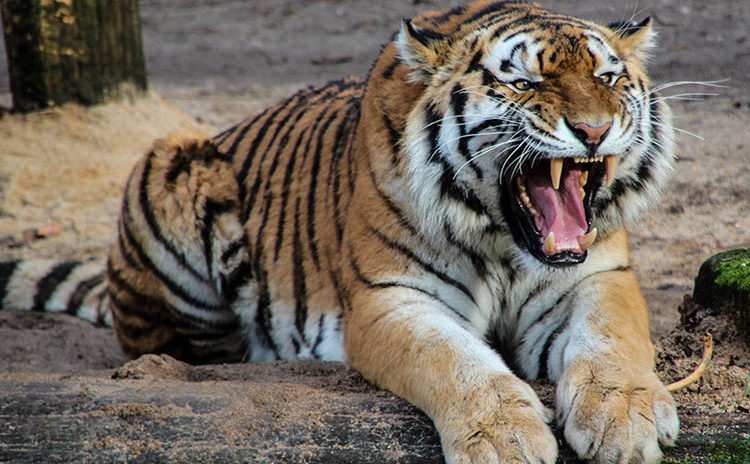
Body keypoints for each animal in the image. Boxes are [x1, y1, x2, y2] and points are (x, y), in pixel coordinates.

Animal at [0, 1, 681, 463]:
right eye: (524, 82)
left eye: (608, 79)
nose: (594, 130)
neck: (503, 242)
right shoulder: (391, 299)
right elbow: (455, 360)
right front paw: (504, 437)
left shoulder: (597, 277)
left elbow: (614, 337)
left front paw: (626, 417)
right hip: (172, 159)